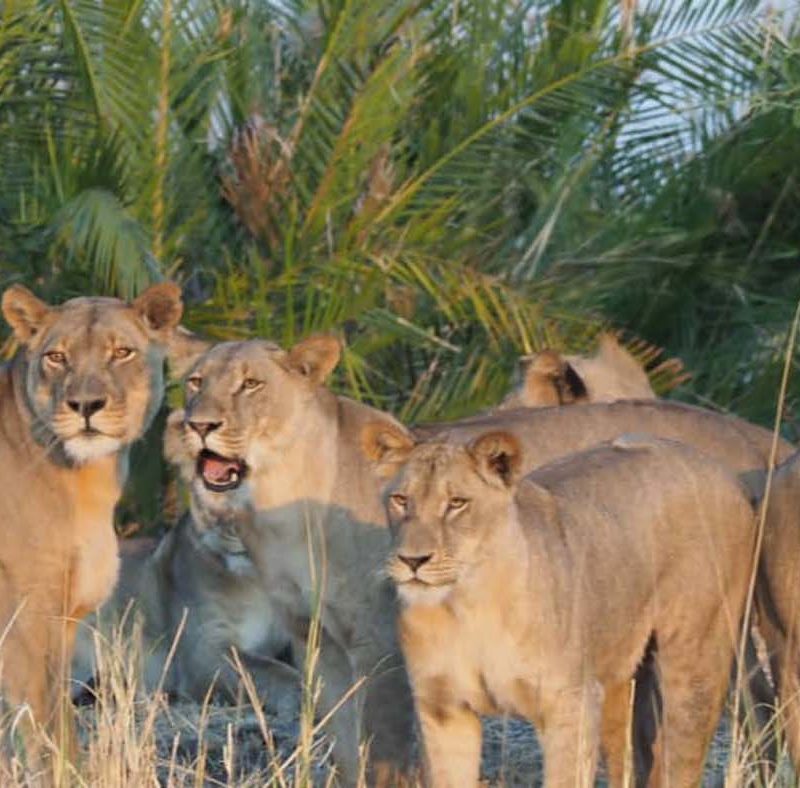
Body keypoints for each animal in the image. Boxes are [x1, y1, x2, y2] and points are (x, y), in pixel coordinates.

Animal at [0, 282, 183, 763]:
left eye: (121, 352)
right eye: (56, 356)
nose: (85, 405)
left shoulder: (65, 620)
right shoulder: (29, 622)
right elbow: (53, 740)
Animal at [169, 335, 417, 785]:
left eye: (250, 384)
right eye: (196, 382)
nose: (198, 426)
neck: (279, 501)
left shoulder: (379, 642)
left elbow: (383, 751)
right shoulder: (314, 638)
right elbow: (344, 741)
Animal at [361, 425, 756, 787]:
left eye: (457, 503)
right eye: (401, 499)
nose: (413, 560)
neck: (466, 606)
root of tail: (721, 470)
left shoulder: (570, 706)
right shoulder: (442, 709)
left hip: (695, 666)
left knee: (682, 761)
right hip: (615, 679)